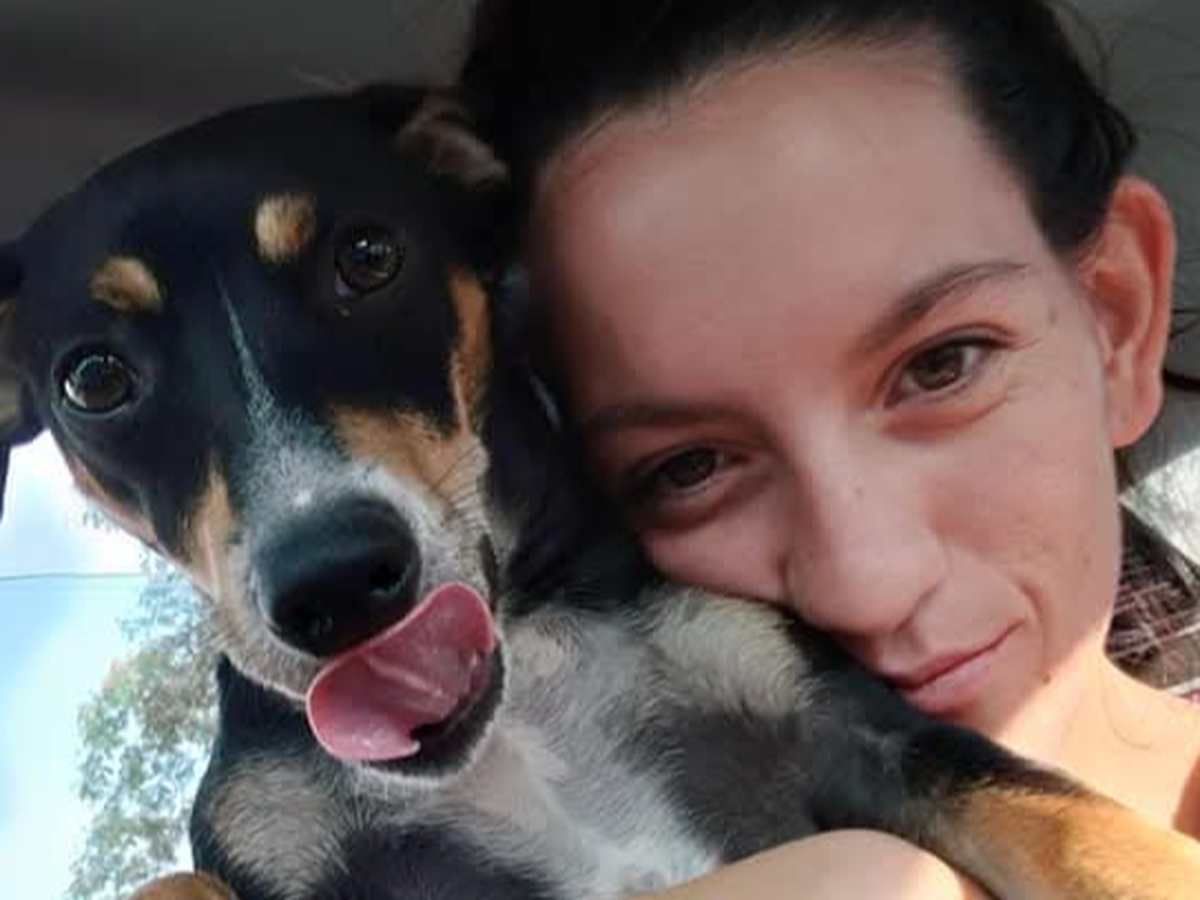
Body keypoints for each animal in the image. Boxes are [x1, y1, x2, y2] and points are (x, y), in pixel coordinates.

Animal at [3, 87, 1200, 900]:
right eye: (92, 379)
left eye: (368, 256)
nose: (334, 583)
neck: (527, 679)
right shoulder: (285, 850)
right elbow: (176, 881)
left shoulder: (853, 726)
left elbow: (1069, 820)